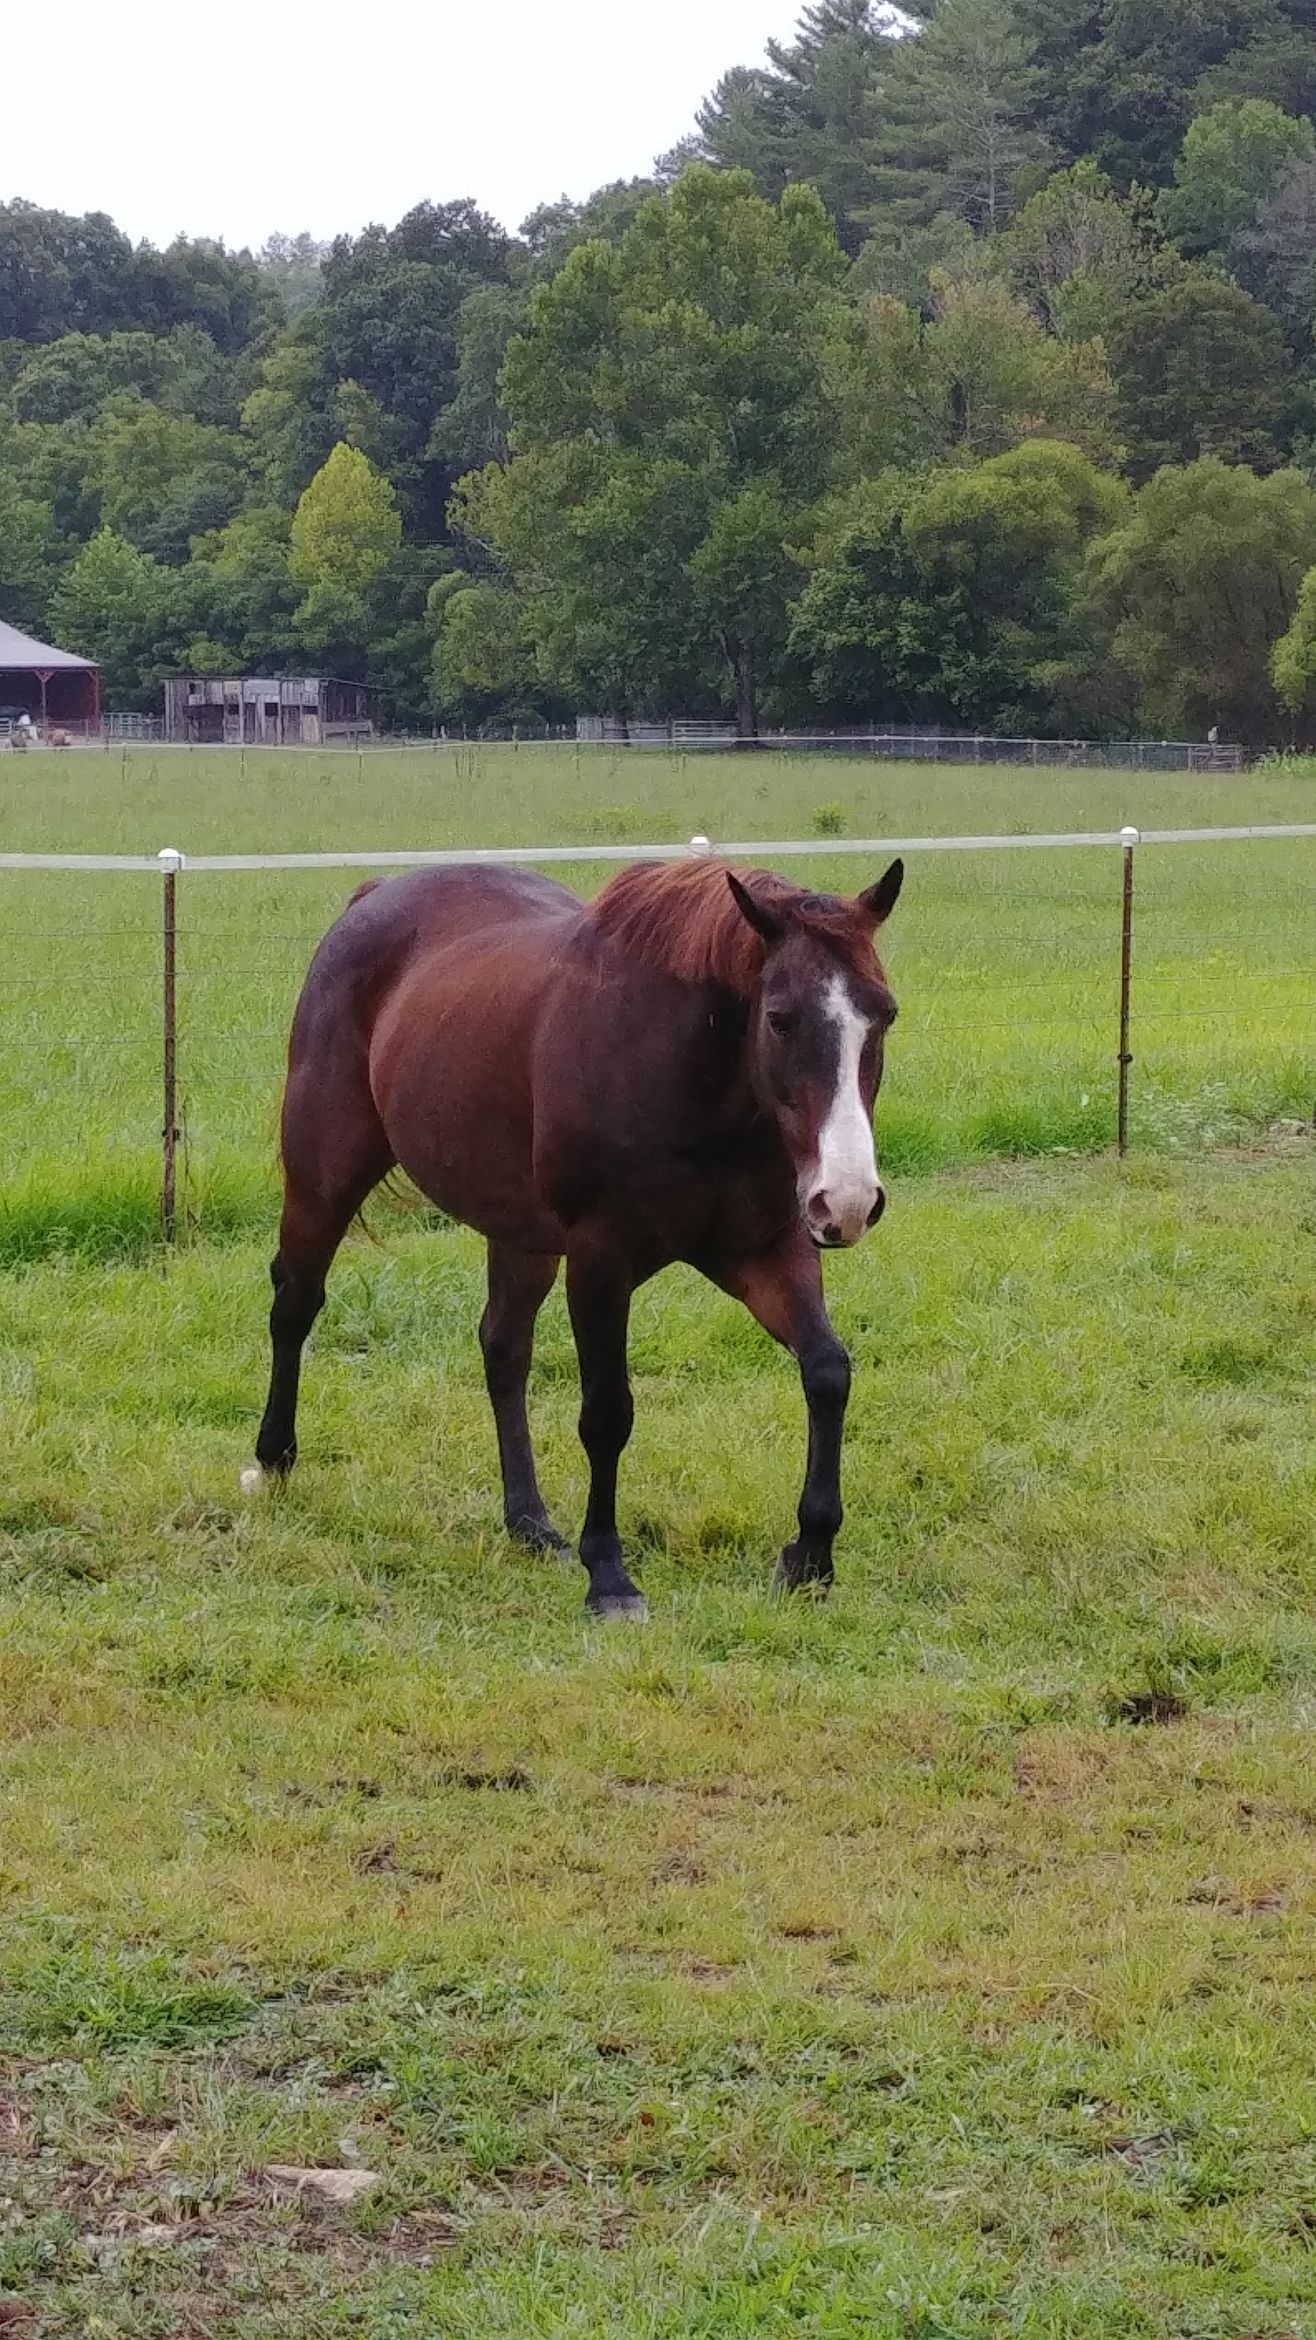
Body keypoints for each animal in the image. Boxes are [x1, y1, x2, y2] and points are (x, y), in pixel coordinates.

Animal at [245, 855, 903, 1617]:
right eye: (780, 1019)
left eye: (883, 1014)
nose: (850, 1200)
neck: (691, 1078)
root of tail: (372, 897)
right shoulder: (600, 1262)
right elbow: (607, 1413)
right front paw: (610, 1576)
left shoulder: (767, 1251)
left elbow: (827, 1372)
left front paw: (811, 1553)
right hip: (324, 1179)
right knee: (294, 1304)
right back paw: (272, 1461)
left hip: (521, 1233)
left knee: (503, 1349)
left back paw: (529, 1522)